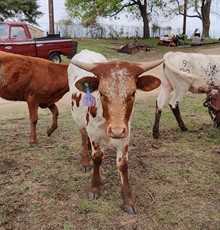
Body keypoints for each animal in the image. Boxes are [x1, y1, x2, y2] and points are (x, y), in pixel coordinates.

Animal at [67, 49, 163, 215]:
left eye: (133, 93)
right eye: (102, 93)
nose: (116, 130)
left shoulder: (126, 135)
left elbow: (123, 164)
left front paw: (128, 200)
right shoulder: (94, 133)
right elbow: (97, 157)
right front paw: (95, 188)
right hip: (78, 119)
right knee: (83, 137)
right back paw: (85, 161)